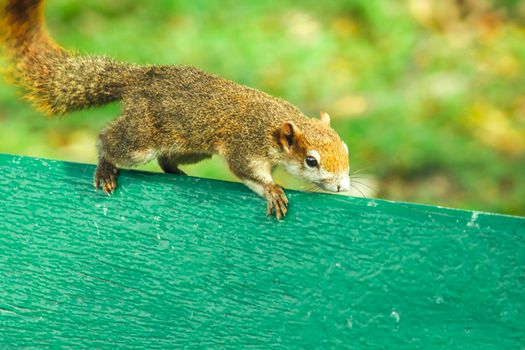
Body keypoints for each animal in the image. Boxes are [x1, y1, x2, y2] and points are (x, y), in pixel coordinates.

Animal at [2, 0, 350, 219]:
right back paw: (105, 167)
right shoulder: (245, 146)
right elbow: (247, 173)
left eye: (345, 149)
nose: (342, 187)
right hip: (140, 138)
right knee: (108, 139)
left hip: (191, 148)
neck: (275, 121)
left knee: (167, 160)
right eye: (311, 160)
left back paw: (178, 174)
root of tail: (141, 77)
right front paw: (272, 190)